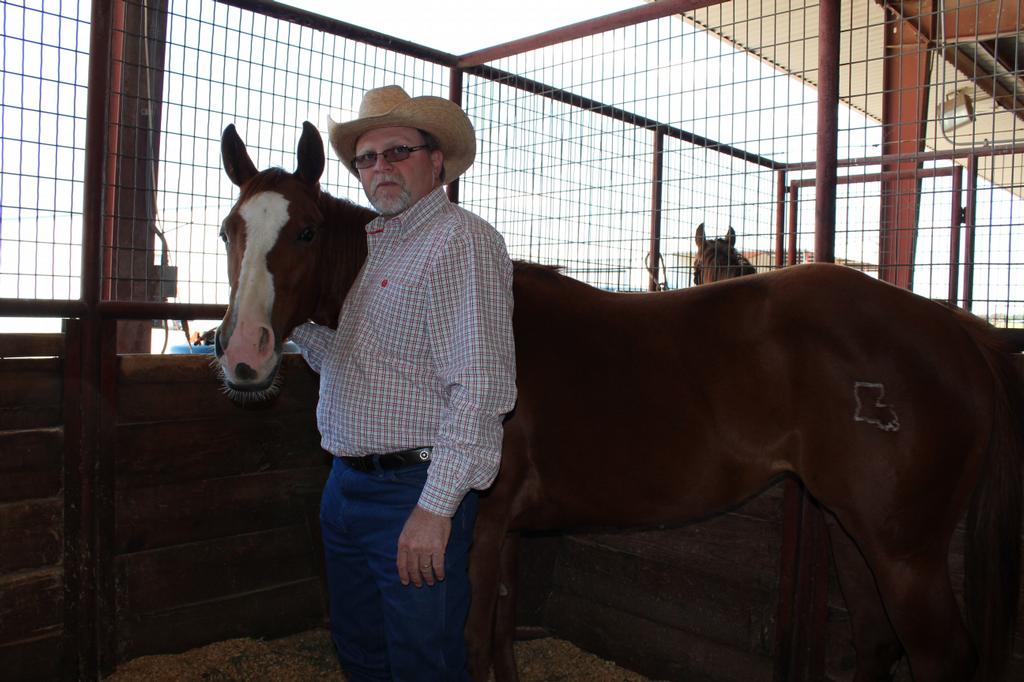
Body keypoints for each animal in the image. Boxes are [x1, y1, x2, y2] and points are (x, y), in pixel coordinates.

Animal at [214, 122, 1023, 682]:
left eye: (306, 231)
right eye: (228, 231)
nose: (244, 354)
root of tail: (957, 330)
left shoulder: (475, 528)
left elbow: (473, 643)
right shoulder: (508, 533)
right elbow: (502, 636)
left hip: (906, 552)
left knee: (939, 657)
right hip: (855, 531)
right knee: (877, 640)